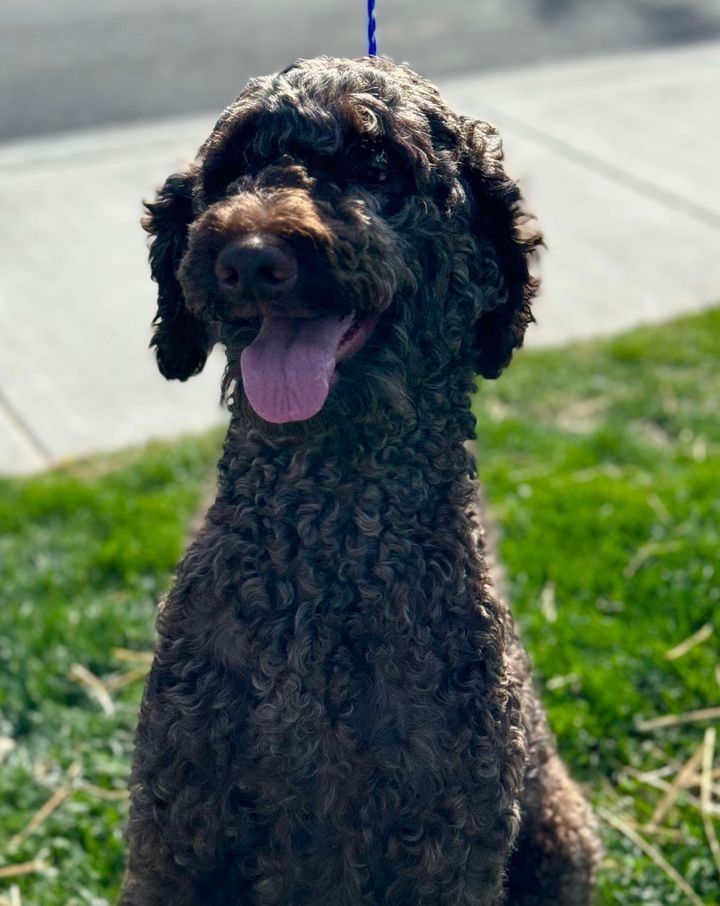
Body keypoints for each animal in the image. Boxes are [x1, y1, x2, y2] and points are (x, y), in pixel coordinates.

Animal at [119, 53, 600, 900]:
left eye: (379, 166)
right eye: (232, 169)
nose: (249, 256)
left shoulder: (447, 849)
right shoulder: (175, 832)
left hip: (566, 838)